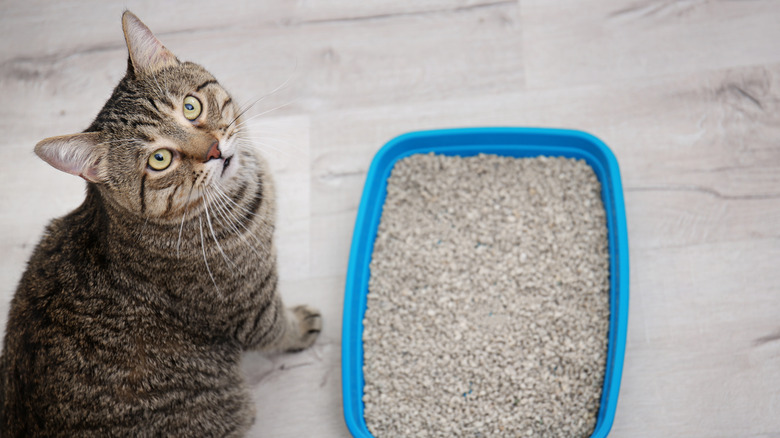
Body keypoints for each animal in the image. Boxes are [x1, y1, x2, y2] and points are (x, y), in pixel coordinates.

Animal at [0, 11, 322, 438]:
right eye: (160, 159)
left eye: (190, 107)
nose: (215, 151)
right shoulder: (248, 307)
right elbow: (277, 327)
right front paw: (300, 325)